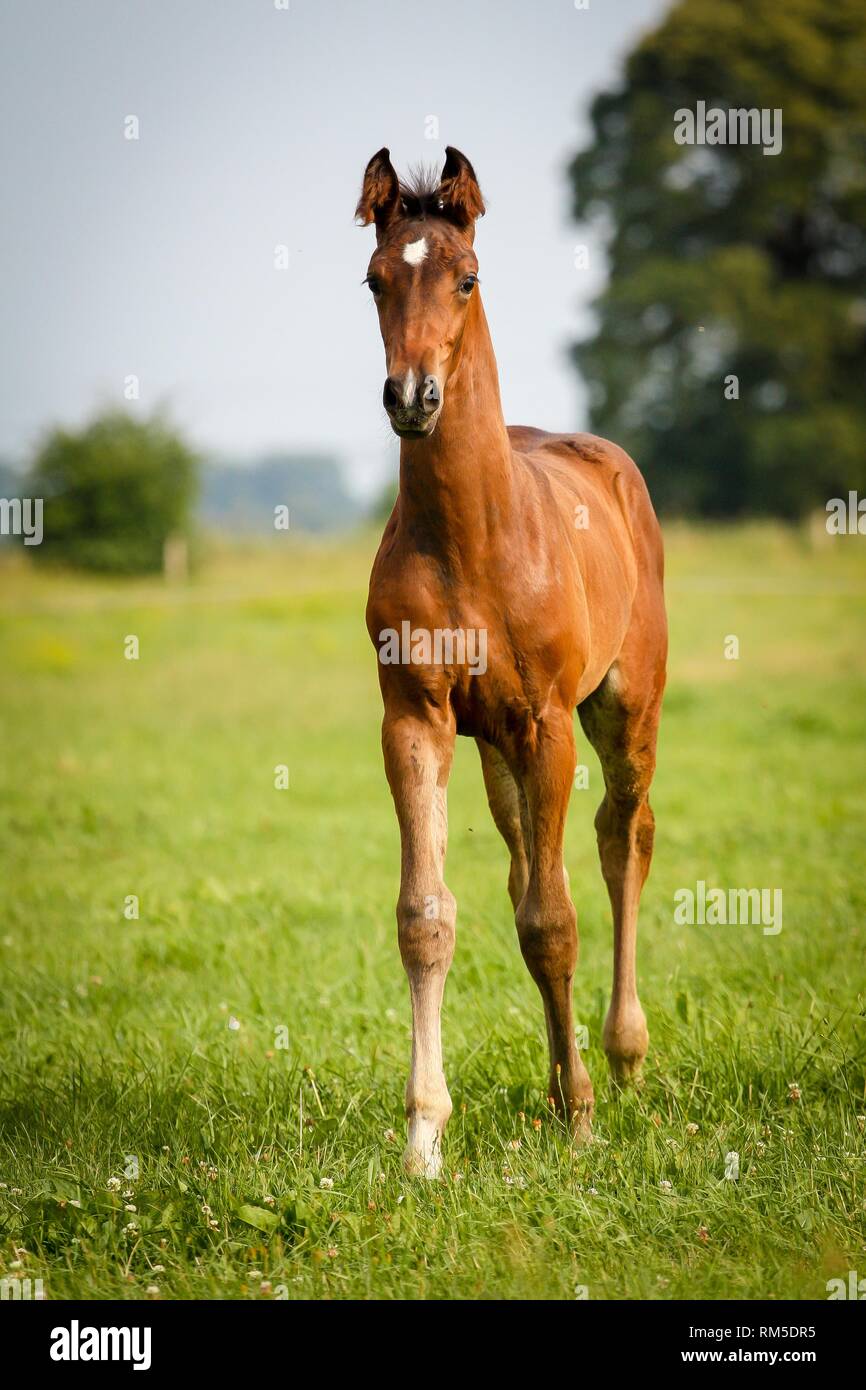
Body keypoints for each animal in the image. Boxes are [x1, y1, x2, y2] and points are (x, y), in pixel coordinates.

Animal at [357, 146, 667, 1177]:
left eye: (467, 277)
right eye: (375, 279)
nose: (412, 397)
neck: (471, 540)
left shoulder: (546, 724)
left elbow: (555, 922)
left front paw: (579, 1118)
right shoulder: (414, 718)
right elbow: (430, 914)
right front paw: (424, 1138)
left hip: (622, 712)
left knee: (622, 839)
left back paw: (621, 1059)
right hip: (494, 752)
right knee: (526, 870)